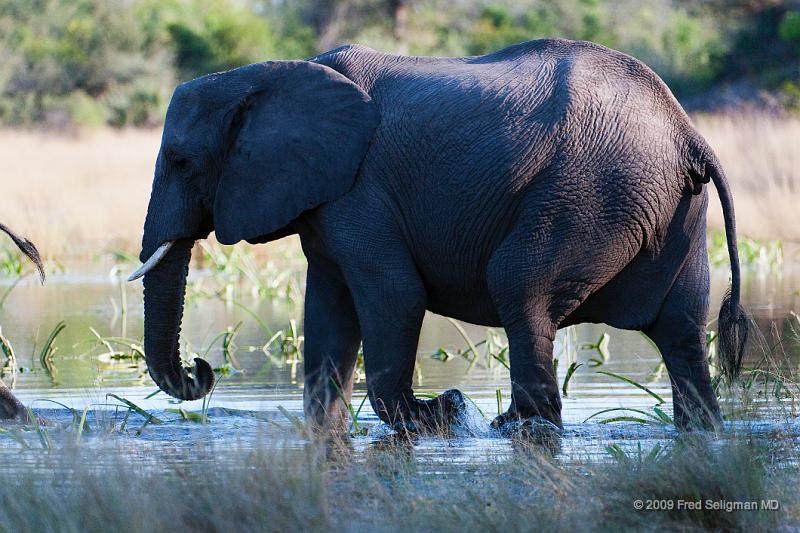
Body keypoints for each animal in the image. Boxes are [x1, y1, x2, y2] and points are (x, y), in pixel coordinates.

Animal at [131, 40, 752, 432]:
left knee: (519, 286)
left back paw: (510, 426)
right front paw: (330, 430)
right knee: (681, 331)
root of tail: (688, 134)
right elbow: (327, 311)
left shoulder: (360, 193)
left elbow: (395, 296)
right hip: (672, 211)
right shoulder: (329, 202)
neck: (265, 75)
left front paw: (438, 415)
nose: (202, 369)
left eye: (181, 161)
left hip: (591, 194)